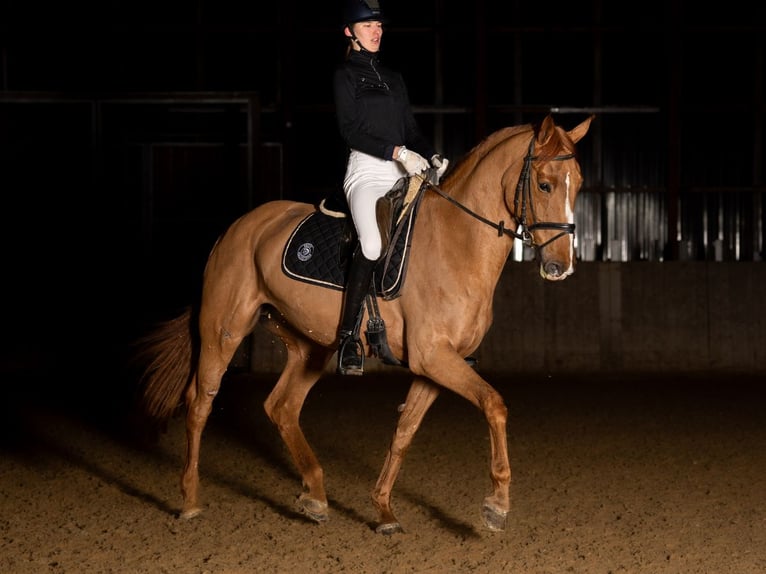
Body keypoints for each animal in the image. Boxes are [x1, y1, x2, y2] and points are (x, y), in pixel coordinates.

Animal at [136, 113, 594, 534]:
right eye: (545, 184)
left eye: (579, 184)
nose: (561, 268)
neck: (456, 241)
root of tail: (236, 228)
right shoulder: (434, 357)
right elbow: (494, 404)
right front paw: (497, 503)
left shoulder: (434, 365)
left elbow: (405, 430)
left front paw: (384, 509)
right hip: (223, 331)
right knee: (201, 402)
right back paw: (190, 500)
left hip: (310, 346)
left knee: (281, 407)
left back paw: (316, 496)